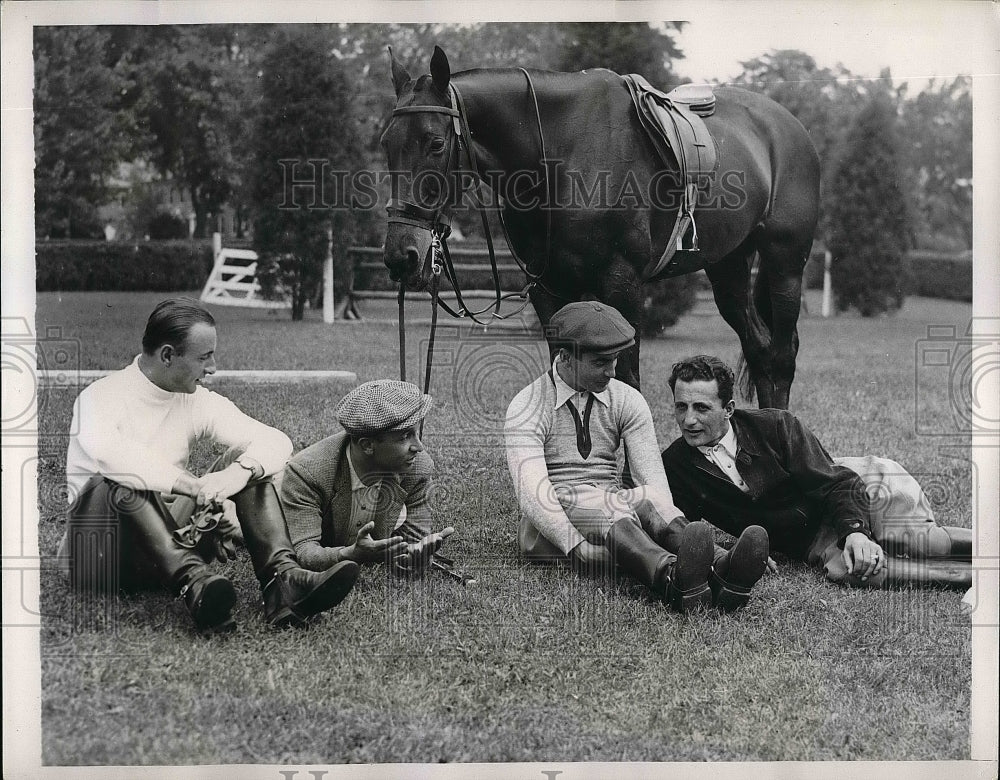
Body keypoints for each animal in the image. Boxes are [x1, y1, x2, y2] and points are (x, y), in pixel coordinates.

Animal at [378, 46, 816, 408]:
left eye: (435, 143)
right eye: (386, 144)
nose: (402, 254)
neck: (561, 154)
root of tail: (787, 124)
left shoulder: (623, 282)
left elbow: (627, 379)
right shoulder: (549, 288)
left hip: (785, 264)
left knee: (782, 354)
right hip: (729, 267)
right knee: (759, 348)